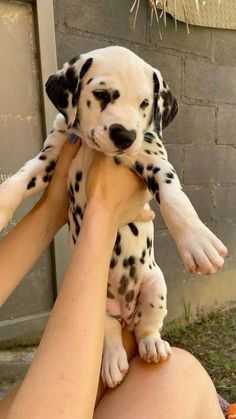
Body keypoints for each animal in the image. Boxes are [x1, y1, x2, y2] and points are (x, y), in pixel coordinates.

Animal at [0, 44, 227, 388]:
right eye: (102, 94)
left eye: (145, 103)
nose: (124, 135)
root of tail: (125, 311)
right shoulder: (49, 158)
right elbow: (18, 180)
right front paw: (0, 204)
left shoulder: (152, 158)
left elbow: (174, 196)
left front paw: (197, 241)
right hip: (95, 302)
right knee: (107, 331)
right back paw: (113, 360)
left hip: (156, 286)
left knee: (147, 326)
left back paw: (153, 345)